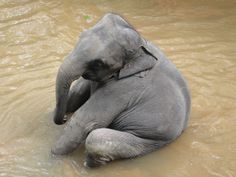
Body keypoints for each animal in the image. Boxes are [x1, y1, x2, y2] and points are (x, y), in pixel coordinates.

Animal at [51, 13, 190, 167]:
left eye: (99, 63)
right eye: (81, 35)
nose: (64, 118)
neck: (142, 45)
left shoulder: (122, 88)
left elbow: (82, 122)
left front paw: (53, 158)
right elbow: (76, 95)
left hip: (151, 141)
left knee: (96, 139)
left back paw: (88, 165)